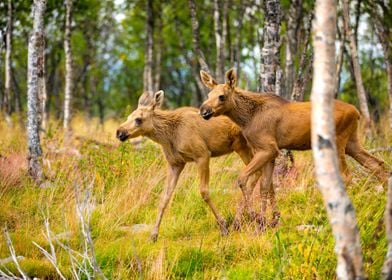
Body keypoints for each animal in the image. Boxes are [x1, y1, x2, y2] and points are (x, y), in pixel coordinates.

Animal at [201, 69, 390, 231]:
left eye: (222, 96)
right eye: (208, 95)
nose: (204, 111)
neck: (246, 119)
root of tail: (357, 112)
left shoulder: (268, 148)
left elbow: (242, 179)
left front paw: (257, 217)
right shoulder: (269, 153)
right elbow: (265, 186)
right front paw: (268, 221)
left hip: (338, 141)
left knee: (347, 175)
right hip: (352, 142)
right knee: (376, 164)